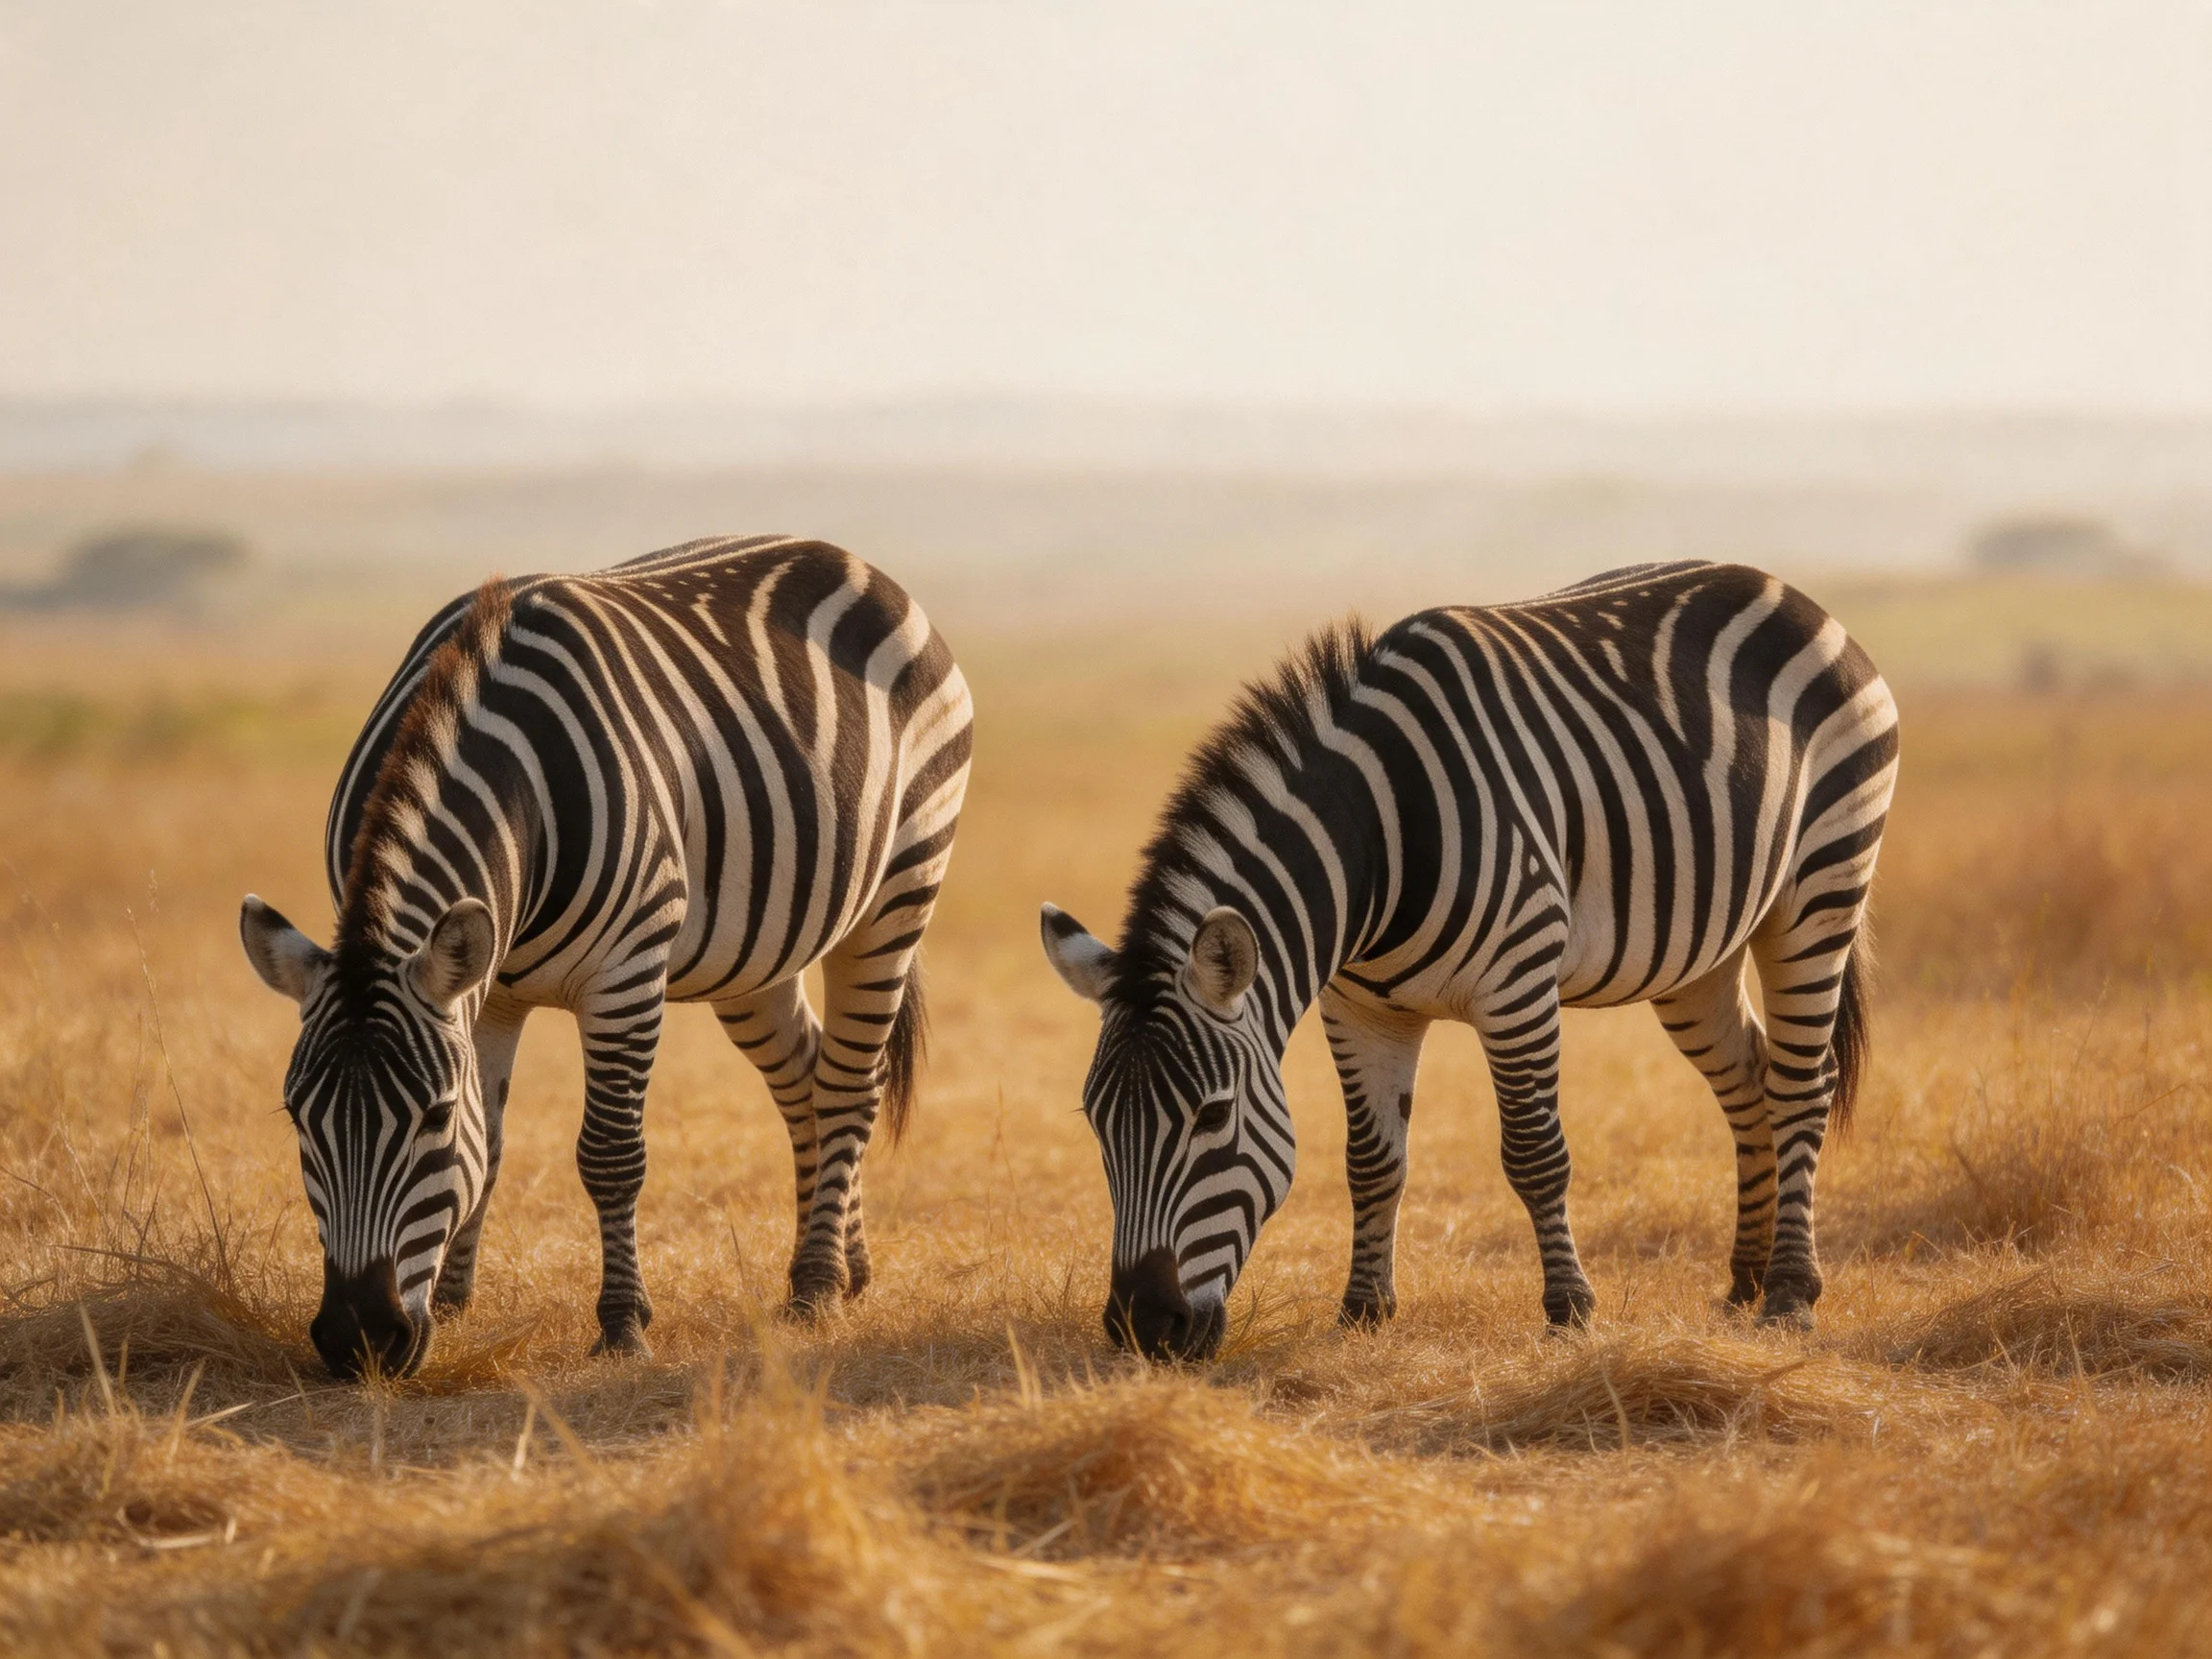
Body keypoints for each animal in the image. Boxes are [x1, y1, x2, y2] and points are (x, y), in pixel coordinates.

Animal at [239, 536, 972, 1379]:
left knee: (851, 1084)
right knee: (807, 1076)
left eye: (434, 1115)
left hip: (900, 889)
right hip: (756, 953)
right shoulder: (487, 990)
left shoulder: (625, 974)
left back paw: (817, 1285)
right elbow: (490, 1151)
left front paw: (622, 1325)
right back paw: (844, 1266)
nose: (358, 1340)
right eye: (297, 1115)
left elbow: (610, 1154)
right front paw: (454, 1305)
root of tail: (853, 559)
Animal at [1041, 562, 1898, 1361]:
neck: (1379, 846)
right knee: (1748, 1078)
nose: (1143, 1328)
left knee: (1799, 1084)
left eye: (1213, 1115)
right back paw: (1745, 1279)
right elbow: (1371, 1161)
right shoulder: (1360, 1008)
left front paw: (1570, 1311)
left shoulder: (1516, 984)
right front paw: (1363, 1311)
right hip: (1697, 953)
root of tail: (1786, 590)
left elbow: (1534, 1153)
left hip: (1821, 885)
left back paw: (1789, 1294)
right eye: (1096, 1120)